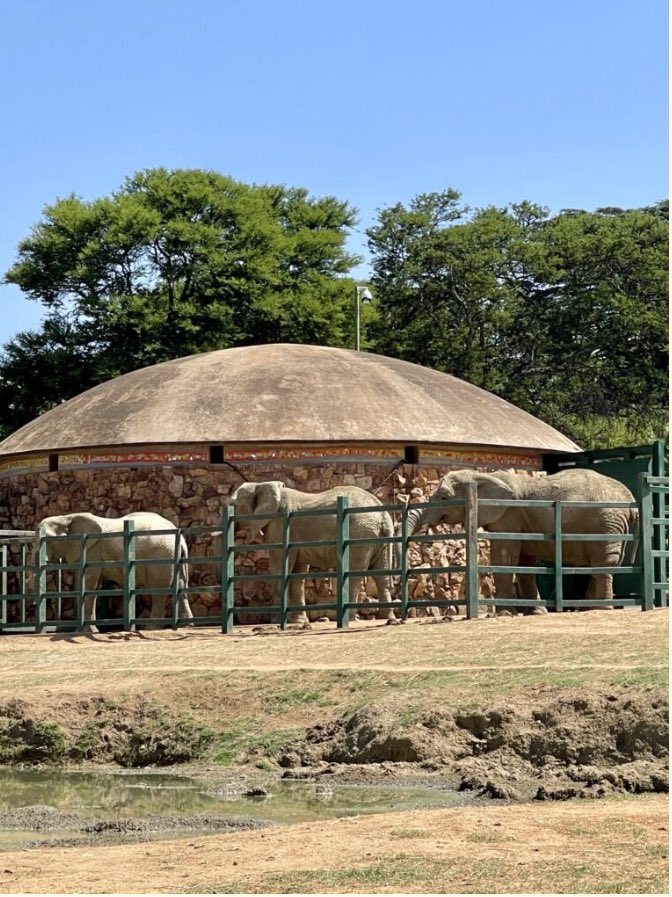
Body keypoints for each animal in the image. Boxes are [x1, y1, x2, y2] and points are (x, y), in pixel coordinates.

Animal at [26, 512, 193, 632]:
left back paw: (151, 628)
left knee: (159, 591)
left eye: (46, 539)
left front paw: (87, 631)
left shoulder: (91, 550)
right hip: (174, 557)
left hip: (160, 557)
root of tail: (181, 540)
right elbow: (89, 586)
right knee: (181, 587)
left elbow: (90, 585)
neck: (66, 518)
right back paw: (185, 625)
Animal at [226, 481, 396, 625]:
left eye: (233, 505)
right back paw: (387, 617)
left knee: (354, 574)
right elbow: (297, 574)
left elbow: (279, 569)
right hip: (378, 537)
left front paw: (275, 622)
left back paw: (348, 618)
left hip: (359, 534)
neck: (263, 485)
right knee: (381, 575)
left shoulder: (279, 526)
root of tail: (383, 515)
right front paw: (299, 621)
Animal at [406, 469, 637, 611]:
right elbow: (525, 561)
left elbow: (504, 554)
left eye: (444, 497)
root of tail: (631, 501)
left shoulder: (509, 514)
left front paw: (505, 612)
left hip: (607, 523)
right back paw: (589, 608)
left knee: (603, 562)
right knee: (600, 566)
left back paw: (601, 608)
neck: (482, 476)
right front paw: (537, 612)